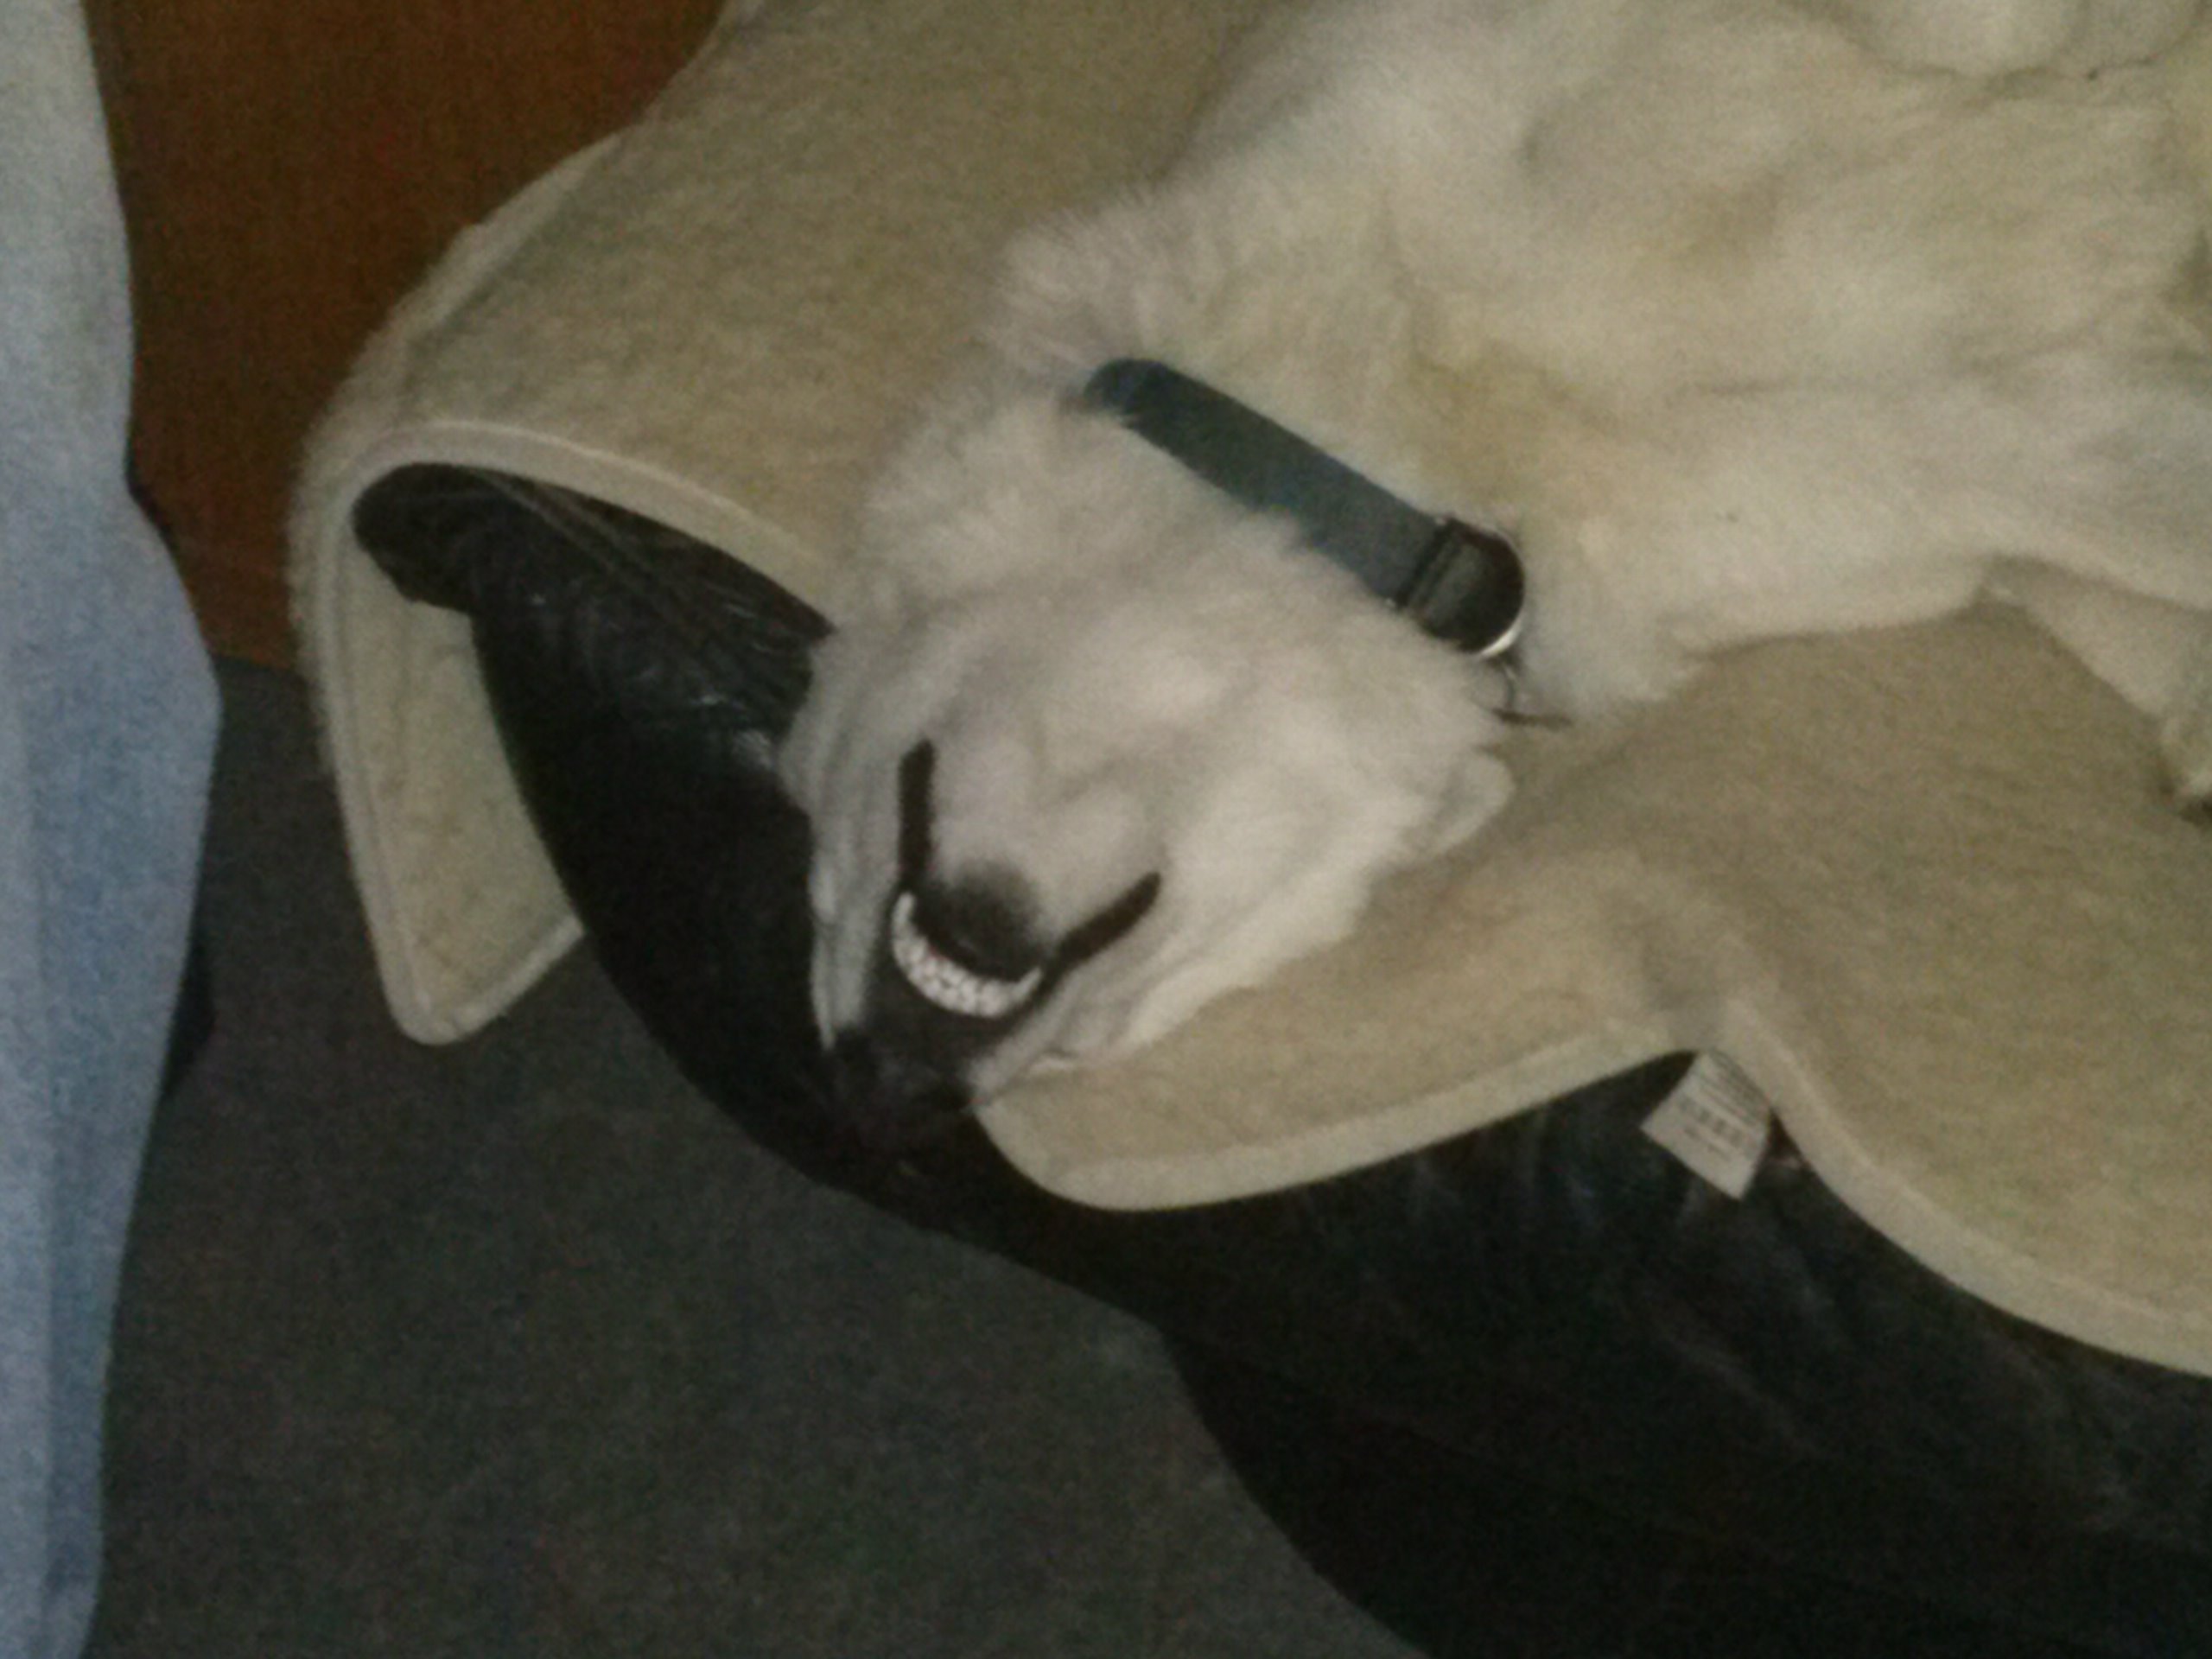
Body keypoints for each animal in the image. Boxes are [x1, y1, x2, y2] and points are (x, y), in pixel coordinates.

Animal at [782, 0, 2212, 1140]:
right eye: (1088, 1051)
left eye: (828, 838)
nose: (877, 1092)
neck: (1412, 464)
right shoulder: (1884, 480)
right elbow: (2089, 503)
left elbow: (1983, 36)